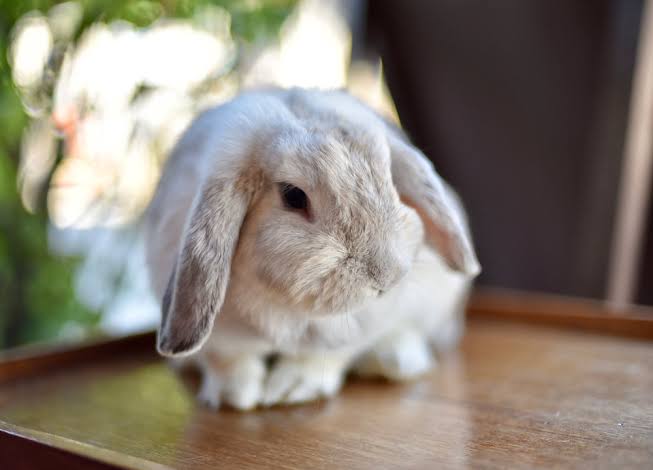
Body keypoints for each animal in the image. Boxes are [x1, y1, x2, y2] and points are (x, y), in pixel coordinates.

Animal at [144, 86, 478, 410]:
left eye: (392, 183)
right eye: (293, 196)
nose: (387, 279)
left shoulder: (356, 327)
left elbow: (323, 357)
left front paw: (290, 389)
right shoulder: (221, 340)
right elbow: (228, 360)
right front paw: (232, 397)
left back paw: (393, 360)